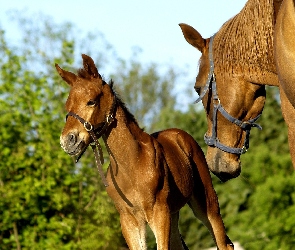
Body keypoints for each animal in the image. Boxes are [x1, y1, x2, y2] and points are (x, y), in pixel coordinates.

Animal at [56, 54, 235, 250]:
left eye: (91, 101)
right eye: (67, 105)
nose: (68, 140)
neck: (132, 164)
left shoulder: (159, 212)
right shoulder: (129, 219)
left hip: (206, 202)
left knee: (224, 242)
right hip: (174, 213)